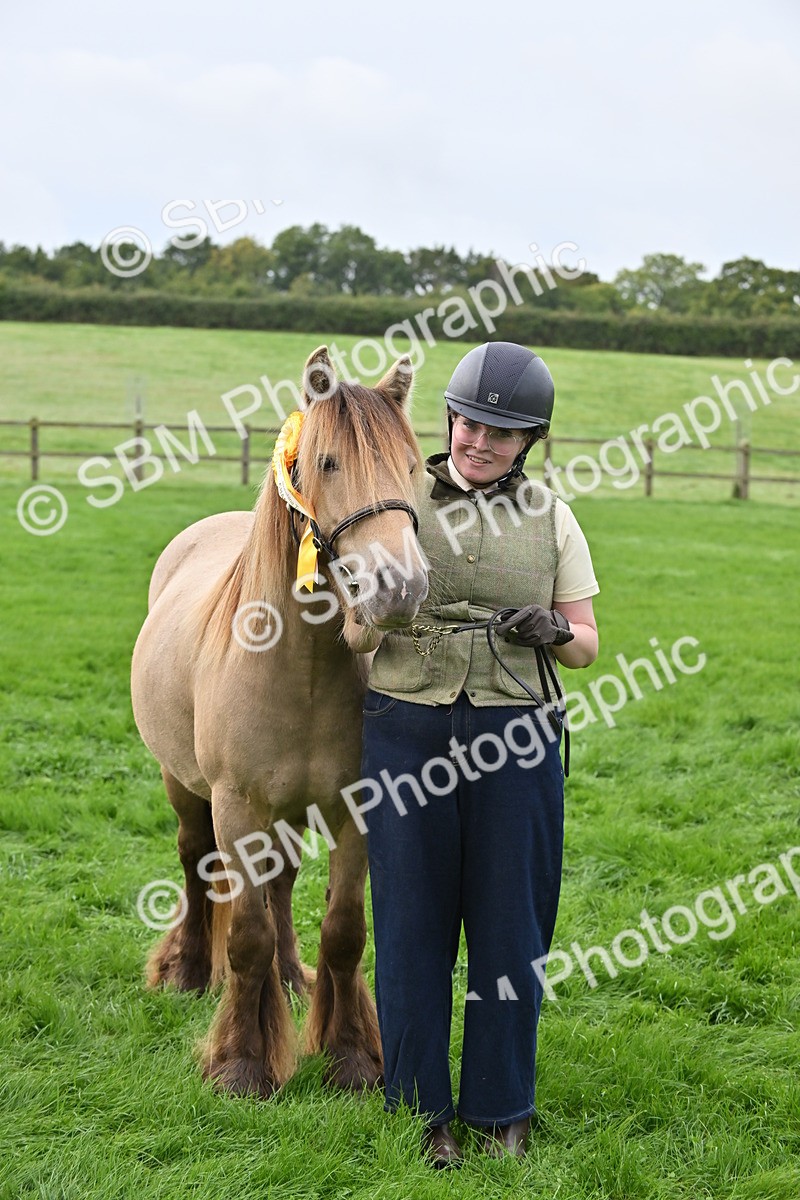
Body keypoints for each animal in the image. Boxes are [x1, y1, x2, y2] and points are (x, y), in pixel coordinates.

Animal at [131, 345, 428, 1098]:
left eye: (414, 464)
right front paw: (241, 1062)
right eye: (327, 462)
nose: (400, 588)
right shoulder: (237, 807)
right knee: (194, 861)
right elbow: (246, 936)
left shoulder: (357, 807)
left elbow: (344, 930)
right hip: (184, 787)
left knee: (283, 884)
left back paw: (292, 981)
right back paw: (190, 971)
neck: (302, 668)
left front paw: (349, 1053)